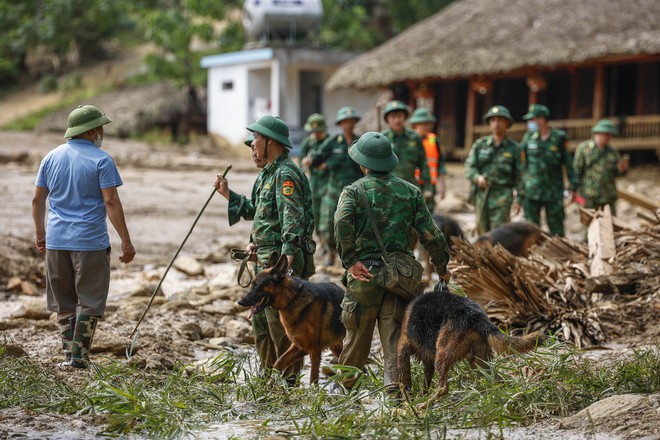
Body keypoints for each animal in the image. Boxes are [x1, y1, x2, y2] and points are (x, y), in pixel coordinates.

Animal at [236, 254, 346, 384]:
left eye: (256, 285)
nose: (239, 301)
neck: (292, 298)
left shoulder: (314, 349)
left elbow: (313, 377)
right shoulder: (299, 346)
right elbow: (279, 362)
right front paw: (271, 384)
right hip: (336, 347)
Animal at [398, 284, 548, 404]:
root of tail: (475, 315)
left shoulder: (403, 347)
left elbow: (404, 376)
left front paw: (409, 401)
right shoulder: (427, 358)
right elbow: (425, 378)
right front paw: (420, 395)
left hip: (443, 353)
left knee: (443, 387)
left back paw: (426, 404)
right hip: (480, 361)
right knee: (495, 379)